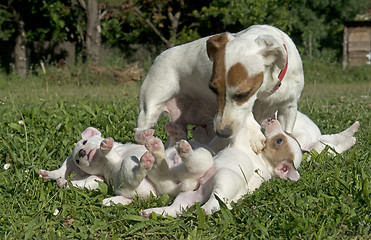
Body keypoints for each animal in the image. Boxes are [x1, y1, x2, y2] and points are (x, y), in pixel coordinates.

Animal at [137, 23, 306, 152]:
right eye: (213, 89)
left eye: (244, 93)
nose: (222, 133)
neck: (266, 91)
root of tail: (159, 56)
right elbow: (247, 115)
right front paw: (254, 135)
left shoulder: (288, 107)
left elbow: (286, 129)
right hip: (150, 106)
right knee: (140, 131)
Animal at [141, 118, 304, 218]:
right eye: (282, 137)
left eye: (279, 141)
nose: (271, 119)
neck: (263, 161)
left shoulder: (239, 140)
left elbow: (242, 127)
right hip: (185, 196)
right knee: (174, 209)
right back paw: (152, 212)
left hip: (223, 176)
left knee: (216, 198)